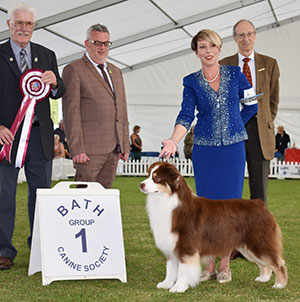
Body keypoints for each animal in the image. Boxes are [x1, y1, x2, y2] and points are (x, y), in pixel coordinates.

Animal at [141, 163, 288, 292]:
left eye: (156, 178)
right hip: (248, 247)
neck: (169, 201)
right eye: (148, 175)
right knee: (264, 264)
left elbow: (183, 270)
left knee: (278, 262)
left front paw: (179, 287)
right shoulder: (171, 245)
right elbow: (170, 268)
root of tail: (260, 204)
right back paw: (263, 278)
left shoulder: (186, 246)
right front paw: (166, 284)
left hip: (259, 242)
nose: (141, 184)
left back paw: (279, 284)